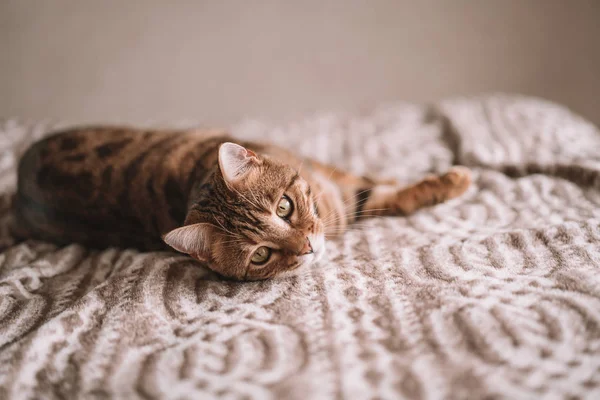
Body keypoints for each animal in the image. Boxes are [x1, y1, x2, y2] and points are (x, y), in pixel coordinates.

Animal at [14, 126, 472, 280]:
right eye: (260, 255)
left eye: (284, 207)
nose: (308, 248)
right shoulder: (348, 199)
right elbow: (386, 195)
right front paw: (447, 182)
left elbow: (379, 185)